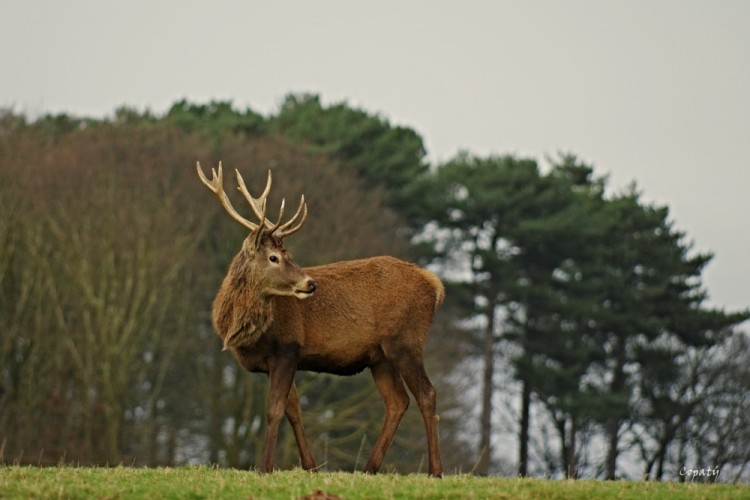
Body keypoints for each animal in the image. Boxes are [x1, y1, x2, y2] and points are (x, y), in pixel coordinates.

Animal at [198, 163, 446, 476]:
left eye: (285, 254)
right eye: (274, 257)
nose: (310, 283)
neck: (248, 334)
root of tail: (436, 285)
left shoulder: (288, 349)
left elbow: (274, 410)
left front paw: (265, 467)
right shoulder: (276, 361)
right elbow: (293, 410)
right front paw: (311, 467)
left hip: (407, 341)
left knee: (427, 394)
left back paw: (435, 471)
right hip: (380, 356)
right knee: (397, 401)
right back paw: (368, 468)